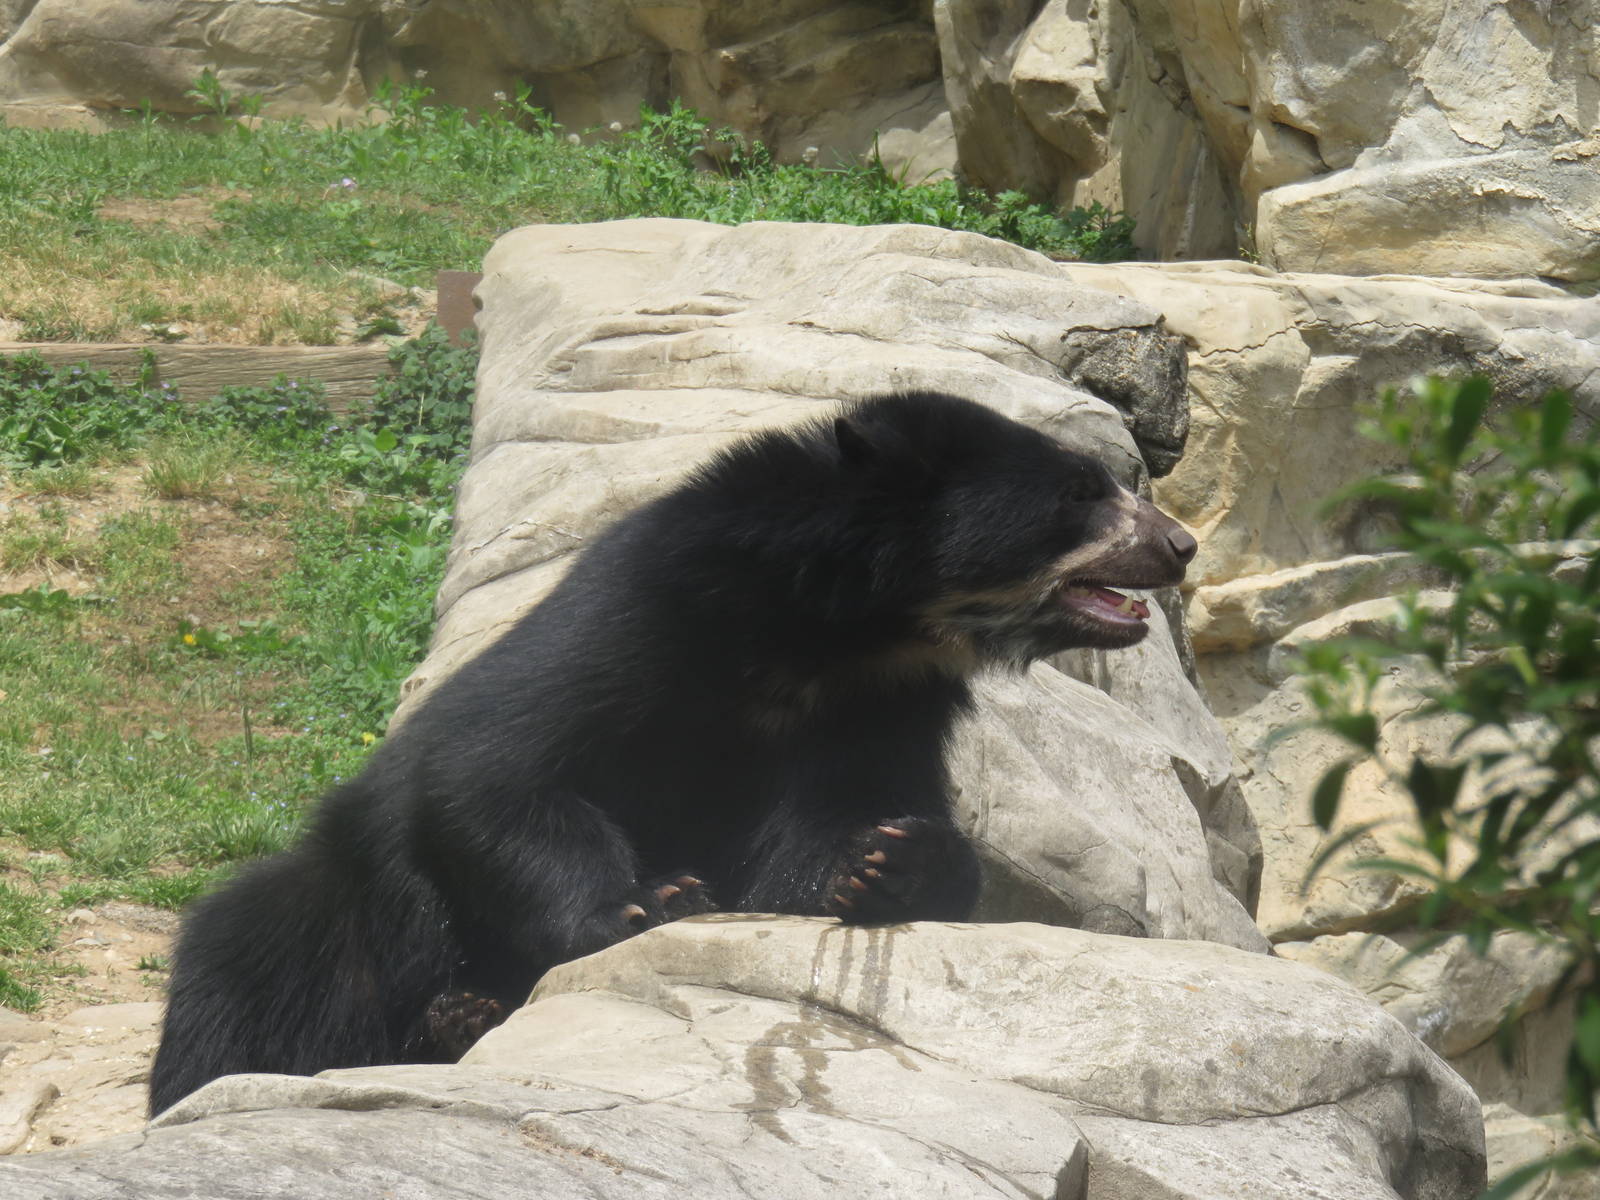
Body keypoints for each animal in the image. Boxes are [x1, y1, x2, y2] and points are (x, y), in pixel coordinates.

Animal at [148, 390, 1197, 1115]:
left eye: (1110, 487)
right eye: (1080, 495)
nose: (1182, 545)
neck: (842, 632)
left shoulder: (878, 708)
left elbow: (815, 843)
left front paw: (889, 861)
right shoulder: (654, 610)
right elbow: (497, 770)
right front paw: (646, 900)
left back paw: (464, 1020)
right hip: (340, 917)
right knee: (246, 970)